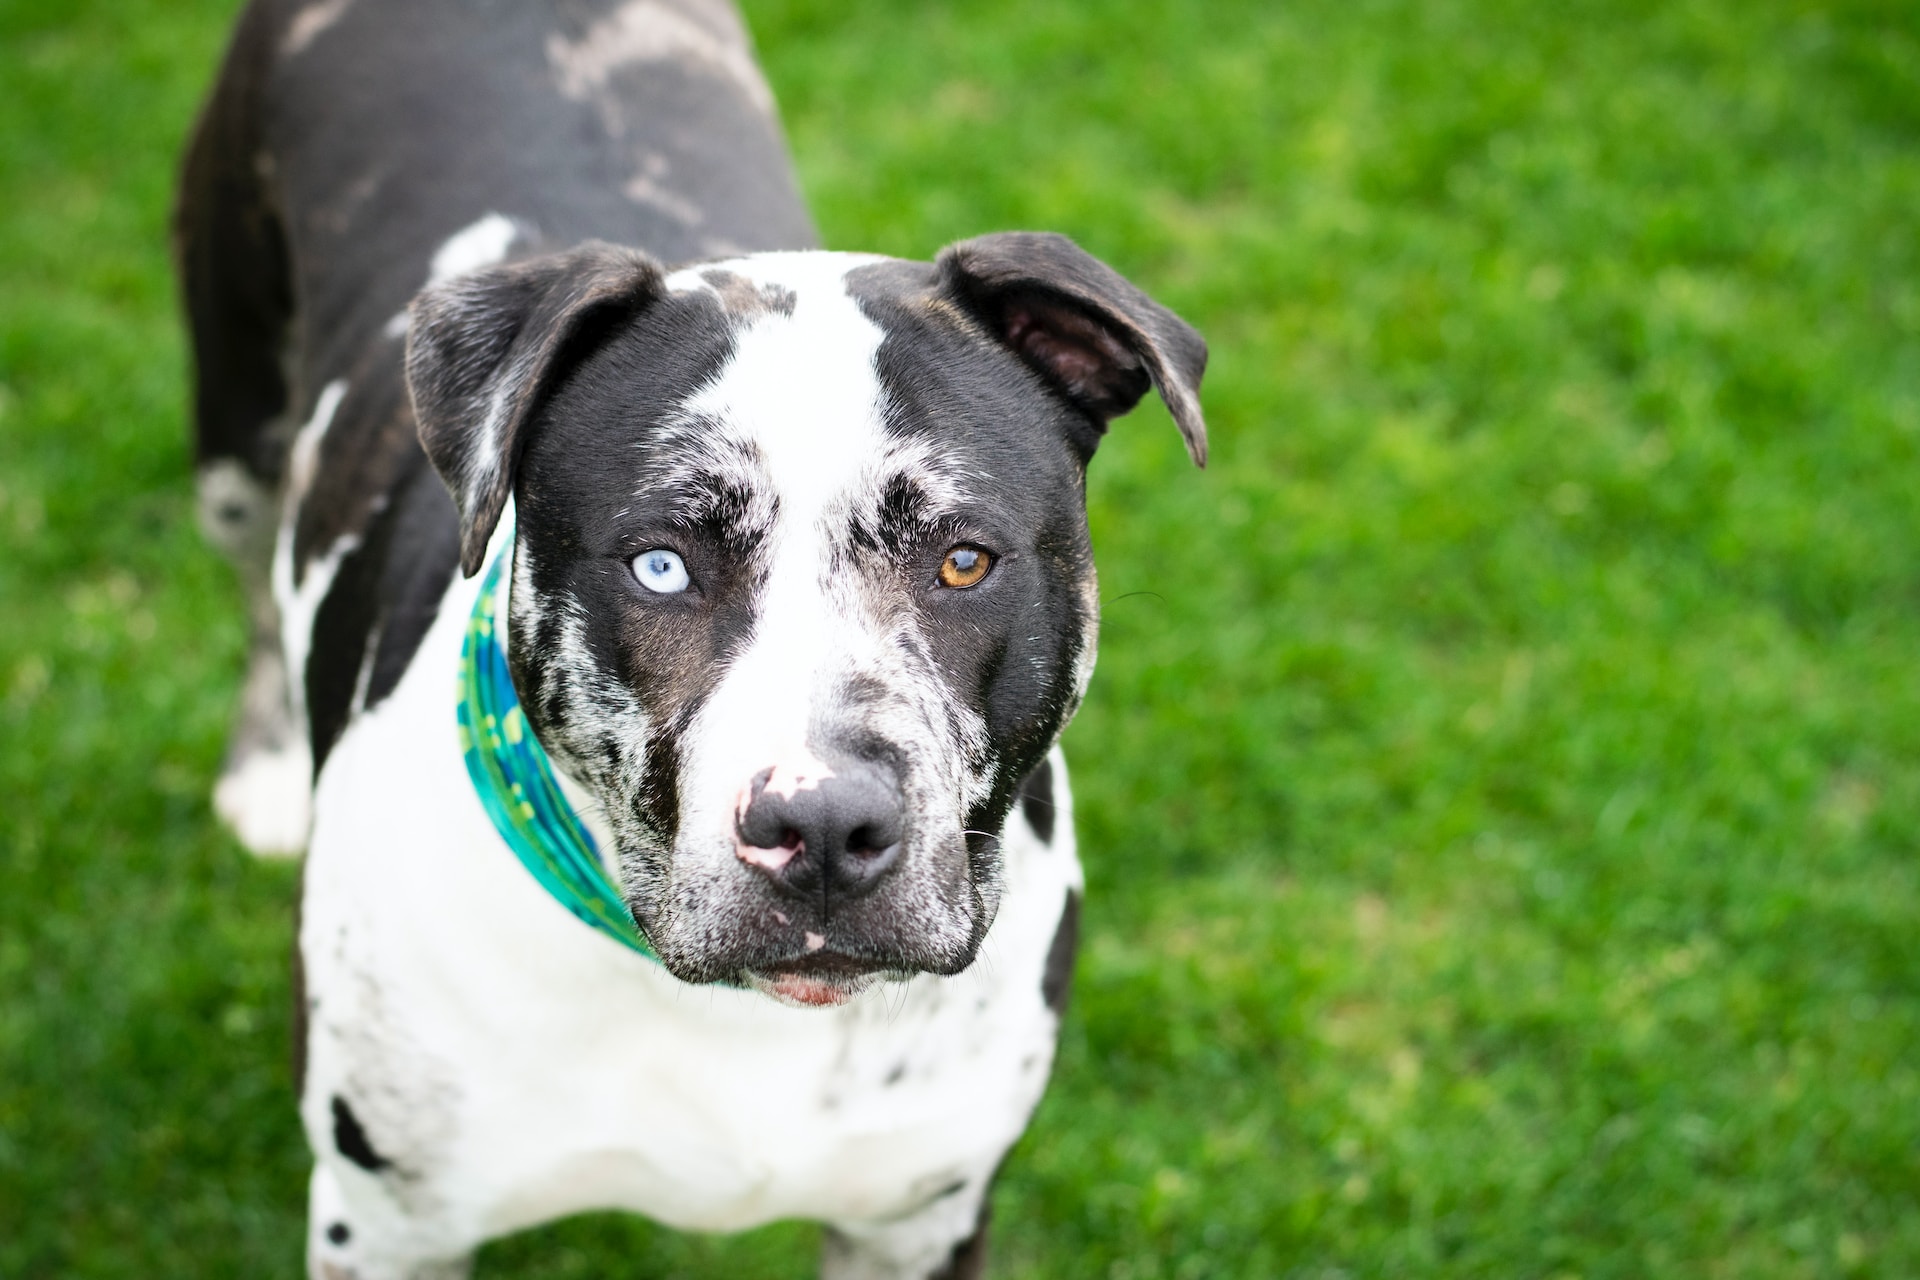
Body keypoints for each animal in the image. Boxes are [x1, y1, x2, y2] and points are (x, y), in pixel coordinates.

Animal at [176, 5, 1198, 1274]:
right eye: (661, 563)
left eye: (964, 559)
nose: (823, 826)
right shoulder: (387, 1225)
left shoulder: (919, 1219)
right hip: (234, 422)